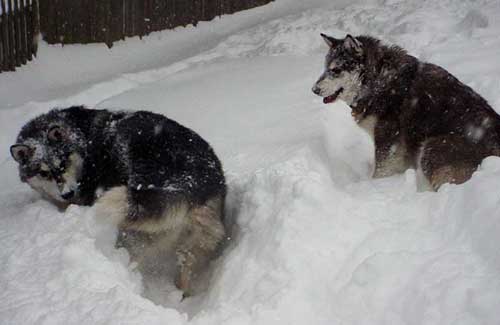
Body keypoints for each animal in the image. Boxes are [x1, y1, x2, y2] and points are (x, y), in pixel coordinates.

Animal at [11, 105, 227, 294]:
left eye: (63, 163)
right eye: (43, 173)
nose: (68, 193)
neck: (81, 137)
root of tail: (191, 182)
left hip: (132, 232)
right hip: (194, 245)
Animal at [312, 33, 500, 187]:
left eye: (336, 70)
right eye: (325, 68)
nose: (314, 89)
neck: (378, 80)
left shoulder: (389, 143)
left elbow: (380, 171)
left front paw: (372, 187)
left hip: (432, 147)